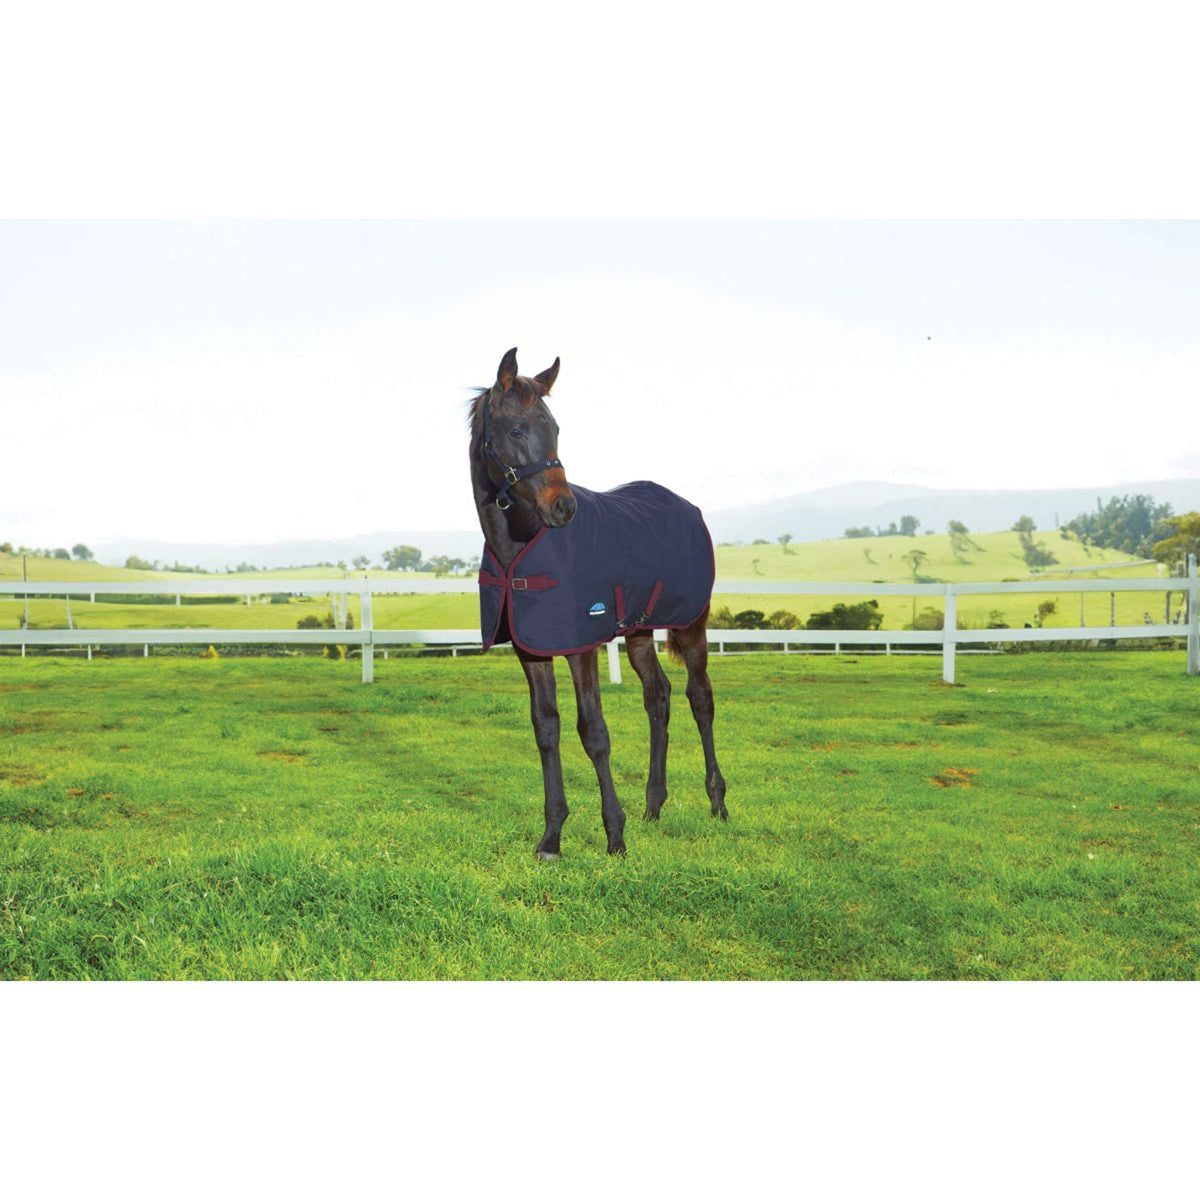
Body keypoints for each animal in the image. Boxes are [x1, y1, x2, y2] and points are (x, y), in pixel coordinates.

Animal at [467, 347, 727, 858]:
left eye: (556, 428)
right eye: (516, 429)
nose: (563, 507)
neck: (520, 546)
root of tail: (688, 507)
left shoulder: (581, 645)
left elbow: (594, 732)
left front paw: (615, 837)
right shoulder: (532, 649)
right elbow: (546, 729)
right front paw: (551, 838)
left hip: (692, 624)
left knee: (700, 697)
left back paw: (717, 803)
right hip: (641, 630)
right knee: (658, 696)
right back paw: (653, 806)